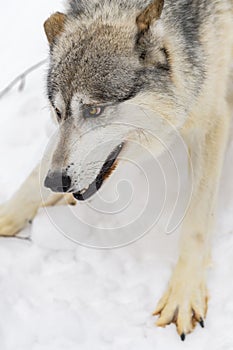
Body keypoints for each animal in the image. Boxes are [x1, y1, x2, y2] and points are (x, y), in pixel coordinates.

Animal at [0, 0, 233, 340]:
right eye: (58, 112)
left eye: (94, 110)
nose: (56, 182)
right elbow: (33, 176)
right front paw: (6, 218)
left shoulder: (210, 119)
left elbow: (197, 223)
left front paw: (183, 296)